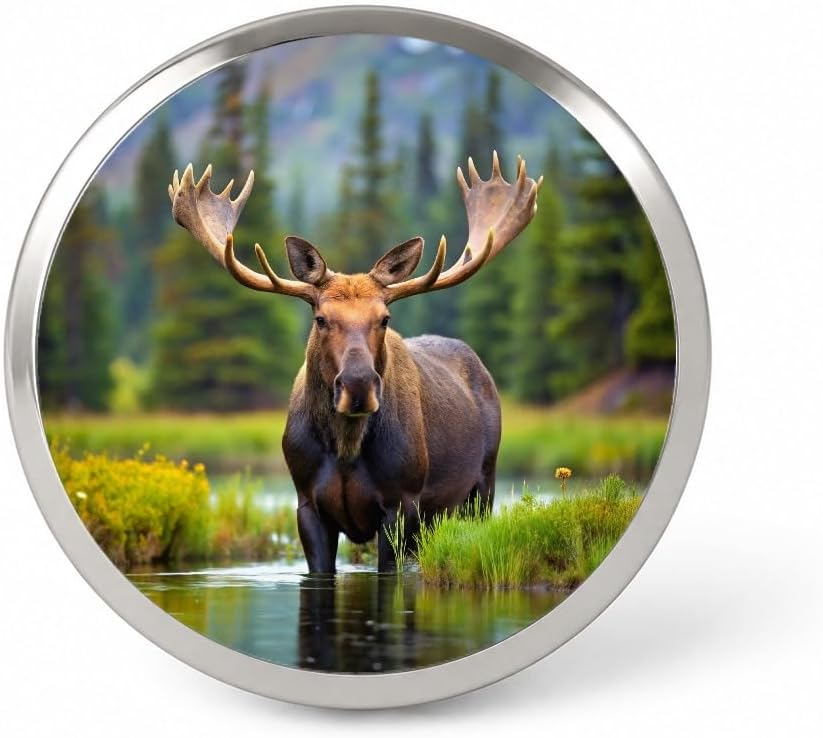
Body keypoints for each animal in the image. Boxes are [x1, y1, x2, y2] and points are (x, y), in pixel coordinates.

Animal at [168, 152, 541, 573]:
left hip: (482, 486)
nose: (359, 385)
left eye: (385, 318)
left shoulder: (403, 503)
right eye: (321, 318)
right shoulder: (307, 504)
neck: (345, 449)